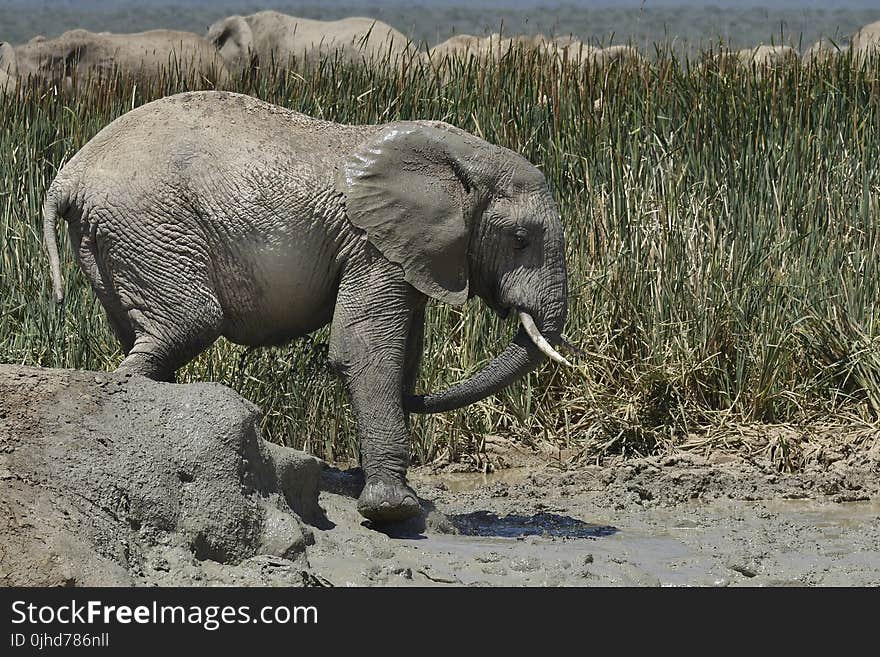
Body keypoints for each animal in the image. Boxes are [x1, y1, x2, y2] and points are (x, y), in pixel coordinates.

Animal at [43, 91, 572, 524]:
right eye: (520, 240)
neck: (462, 154)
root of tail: (69, 175)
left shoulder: (411, 253)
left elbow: (403, 352)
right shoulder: (371, 245)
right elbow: (363, 348)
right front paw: (393, 510)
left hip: (111, 238)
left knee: (146, 335)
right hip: (149, 223)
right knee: (188, 324)